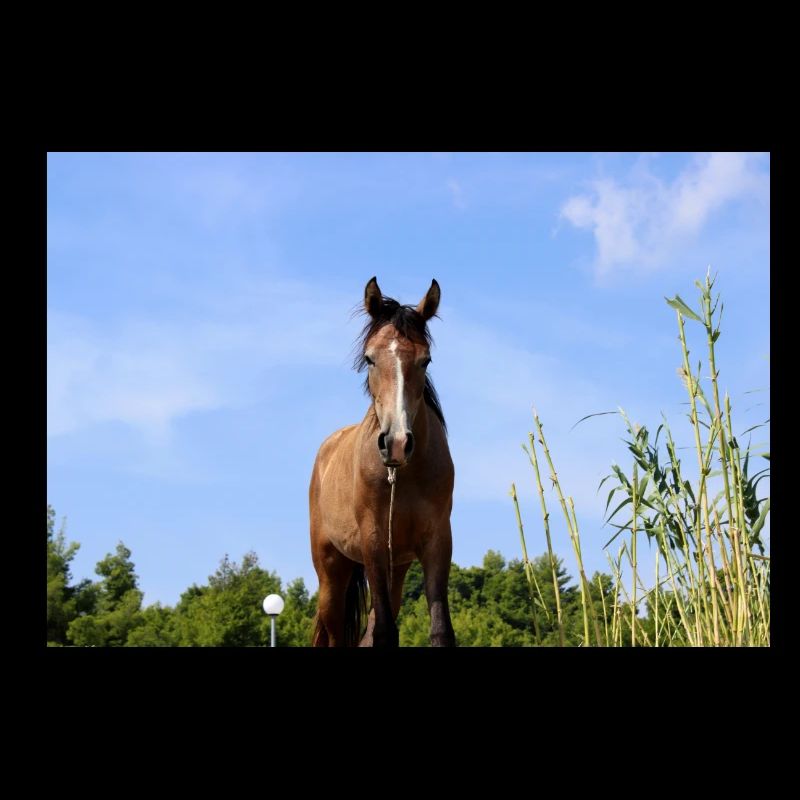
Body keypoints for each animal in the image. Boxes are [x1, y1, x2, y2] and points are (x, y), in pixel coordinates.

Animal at [309, 277, 456, 647]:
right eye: (370, 358)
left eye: (425, 360)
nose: (397, 442)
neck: (403, 476)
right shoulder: (372, 542)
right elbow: (386, 633)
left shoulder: (437, 543)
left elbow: (439, 630)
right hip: (331, 572)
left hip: (395, 570)